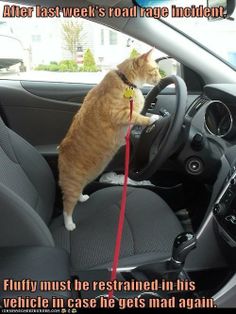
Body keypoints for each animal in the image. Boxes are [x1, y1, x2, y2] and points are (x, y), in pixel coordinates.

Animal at [58, 49, 161, 231]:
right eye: (155, 70)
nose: (162, 78)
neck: (126, 80)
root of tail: (60, 153)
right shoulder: (121, 114)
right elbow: (140, 118)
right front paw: (152, 119)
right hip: (73, 184)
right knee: (67, 206)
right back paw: (69, 224)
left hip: (86, 178)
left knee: (77, 194)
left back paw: (82, 197)